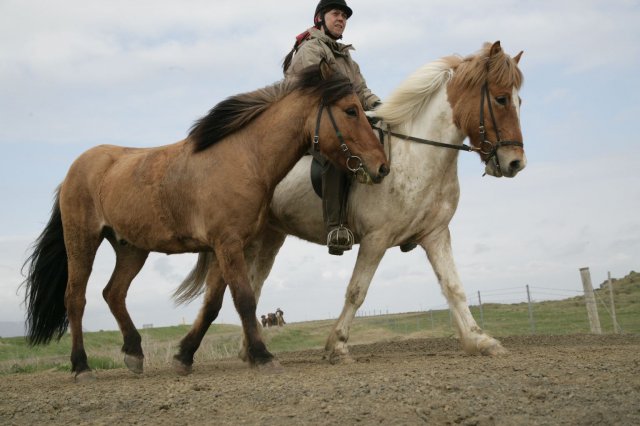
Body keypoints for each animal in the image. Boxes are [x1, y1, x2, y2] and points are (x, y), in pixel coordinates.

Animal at [21, 61, 390, 382]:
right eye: (350, 110)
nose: (382, 166)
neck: (245, 158)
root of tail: (75, 168)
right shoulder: (227, 244)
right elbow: (244, 299)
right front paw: (263, 357)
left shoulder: (228, 247)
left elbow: (213, 305)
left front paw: (184, 357)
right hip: (82, 240)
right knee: (76, 298)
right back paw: (81, 366)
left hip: (131, 248)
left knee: (113, 293)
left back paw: (134, 353)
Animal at [174, 40, 524, 366]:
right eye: (501, 99)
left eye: (519, 100)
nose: (515, 163)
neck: (416, 155)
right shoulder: (376, 239)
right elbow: (357, 291)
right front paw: (338, 346)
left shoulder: (436, 234)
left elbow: (454, 287)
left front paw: (480, 340)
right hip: (242, 240)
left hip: (269, 237)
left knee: (253, 286)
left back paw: (249, 351)